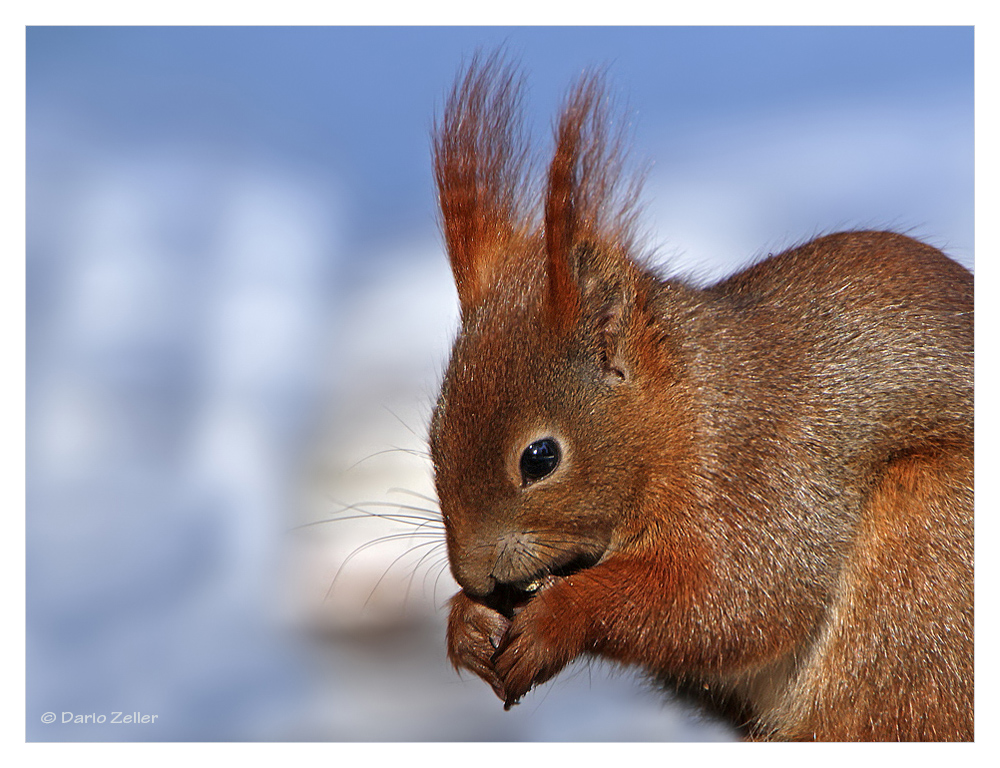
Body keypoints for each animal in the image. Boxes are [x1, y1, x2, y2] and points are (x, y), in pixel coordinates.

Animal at [426, 57, 972, 740]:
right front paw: (465, 624)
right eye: (432, 439)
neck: (684, 411)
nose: (472, 575)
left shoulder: (758, 473)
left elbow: (732, 601)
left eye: (540, 458)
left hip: (920, 573)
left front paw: (558, 616)